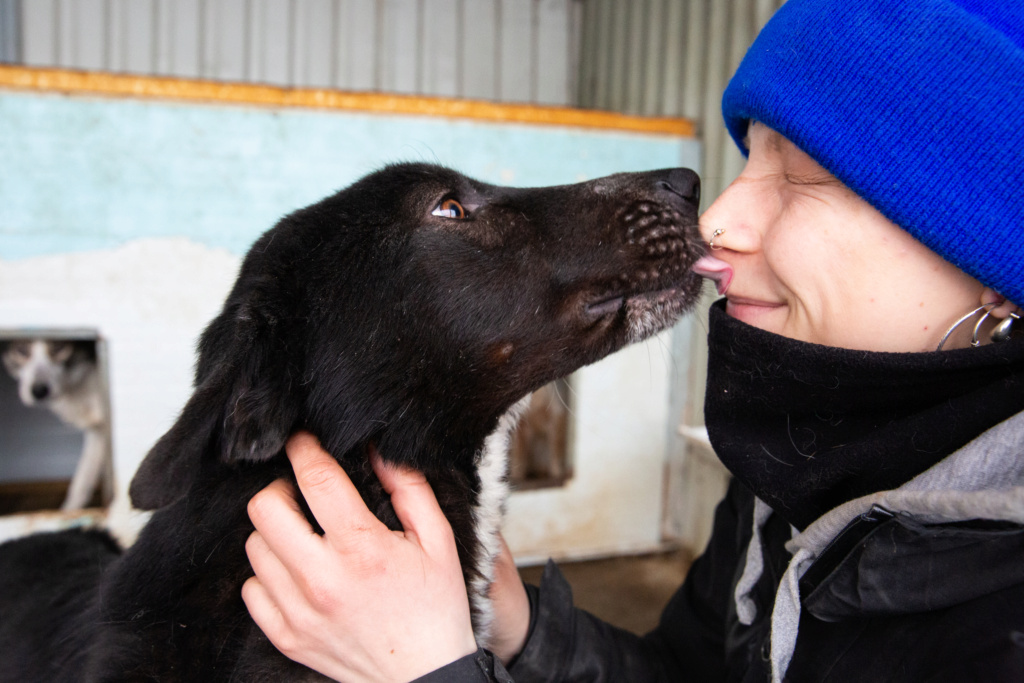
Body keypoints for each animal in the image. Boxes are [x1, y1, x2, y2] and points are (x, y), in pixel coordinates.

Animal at [1, 339, 111, 509]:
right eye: (21, 350)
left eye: (59, 347)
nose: (39, 391)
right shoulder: (98, 431)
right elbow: (82, 479)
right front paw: (70, 511)